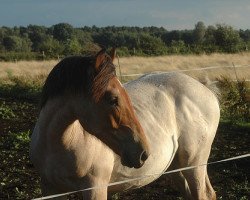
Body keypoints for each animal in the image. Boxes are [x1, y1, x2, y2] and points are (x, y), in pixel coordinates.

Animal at [30, 48, 220, 200]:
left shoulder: (95, 189)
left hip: (194, 164)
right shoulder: (51, 189)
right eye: (113, 99)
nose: (143, 153)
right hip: (175, 168)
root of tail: (206, 89)